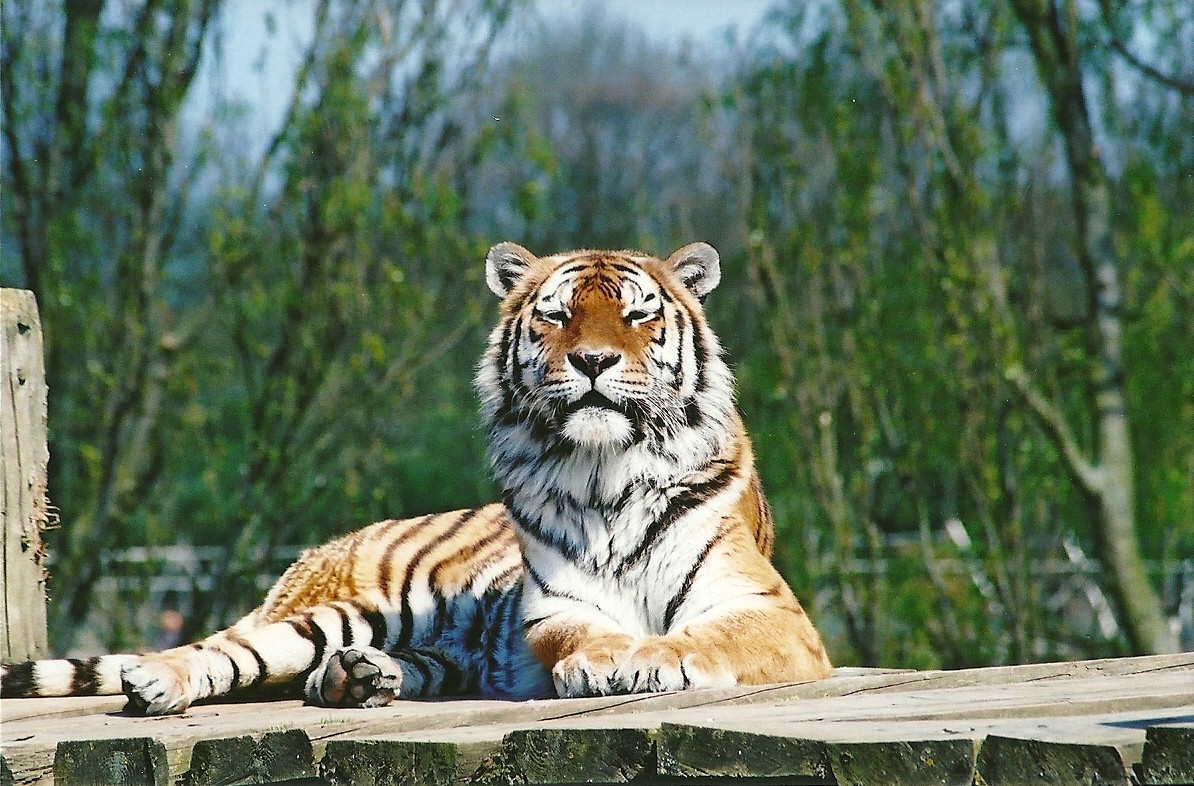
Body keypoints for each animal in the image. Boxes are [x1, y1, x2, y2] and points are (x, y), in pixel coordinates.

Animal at [1, 241, 832, 715]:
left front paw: (645, 659)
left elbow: (706, 634)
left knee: (308, 676)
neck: (605, 471)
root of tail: (314, 554)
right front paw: (604, 659)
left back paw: (356, 679)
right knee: (224, 654)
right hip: (332, 614)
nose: (593, 361)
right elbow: (583, 631)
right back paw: (159, 683)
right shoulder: (554, 609)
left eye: (636, 316)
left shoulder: (770, 611)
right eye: (557, 316)